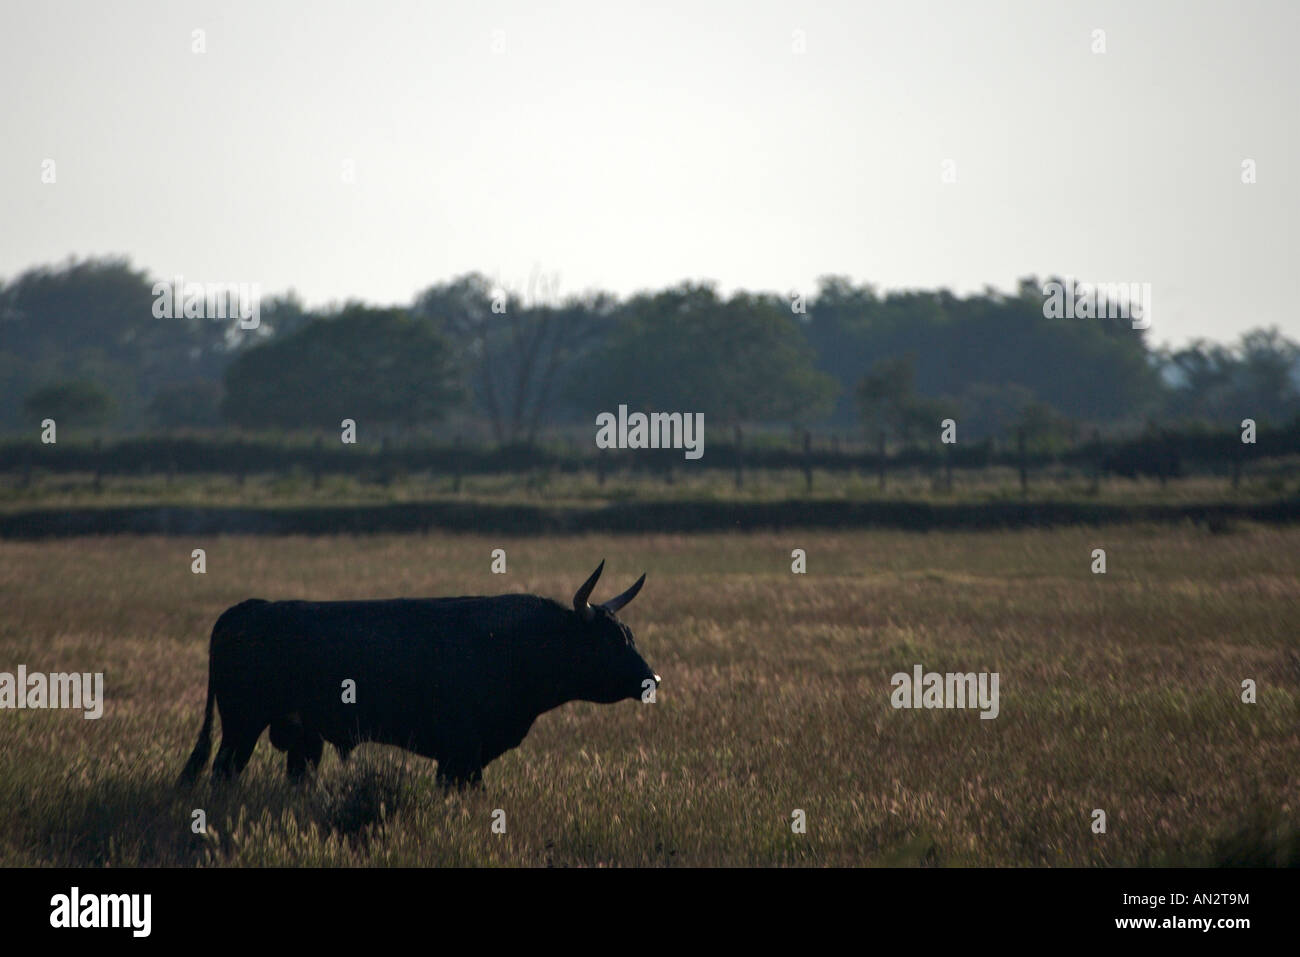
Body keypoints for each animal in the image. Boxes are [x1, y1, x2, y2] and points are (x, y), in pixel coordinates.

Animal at [177, 561, 657, 789]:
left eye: (630, 636)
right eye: (608, 643)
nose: (651, 679)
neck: (509, 644)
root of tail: (248, 608)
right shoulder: (462, 752)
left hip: (299, 739)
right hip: (241, 726)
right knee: (222, 772)